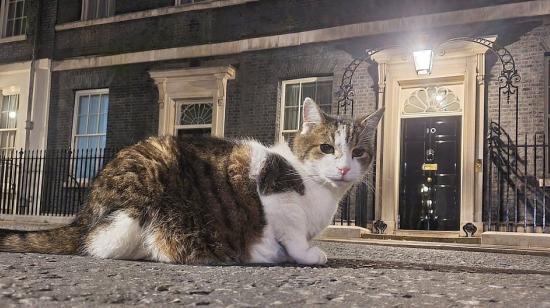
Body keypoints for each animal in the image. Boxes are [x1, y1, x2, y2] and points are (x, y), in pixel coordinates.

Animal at [0, 98, 384, 264]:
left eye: (359, 152)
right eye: (326, 148)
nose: (344, 169)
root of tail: (85, 212)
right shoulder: (275, 191)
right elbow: (292, 234)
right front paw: (304, 254)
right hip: (142, 192)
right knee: (103, 244)